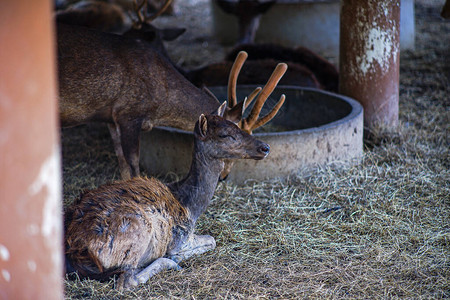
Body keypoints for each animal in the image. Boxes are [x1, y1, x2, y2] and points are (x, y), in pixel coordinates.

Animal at [58, 9, 286, 180]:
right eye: (229, 133)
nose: (224, 176)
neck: (161, 104)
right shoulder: (129, 113)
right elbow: (133, 165)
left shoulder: (111, 119)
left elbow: (122, 164)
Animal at [64, 104, 268, 290]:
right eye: (224, 134)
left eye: (237, 126)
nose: (265, 147)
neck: (191, 206)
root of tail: (79, 250)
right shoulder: (181, 237)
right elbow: (211, 240)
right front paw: (176, 257)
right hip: (136, 233)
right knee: (127, 281)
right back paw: (169, 263)